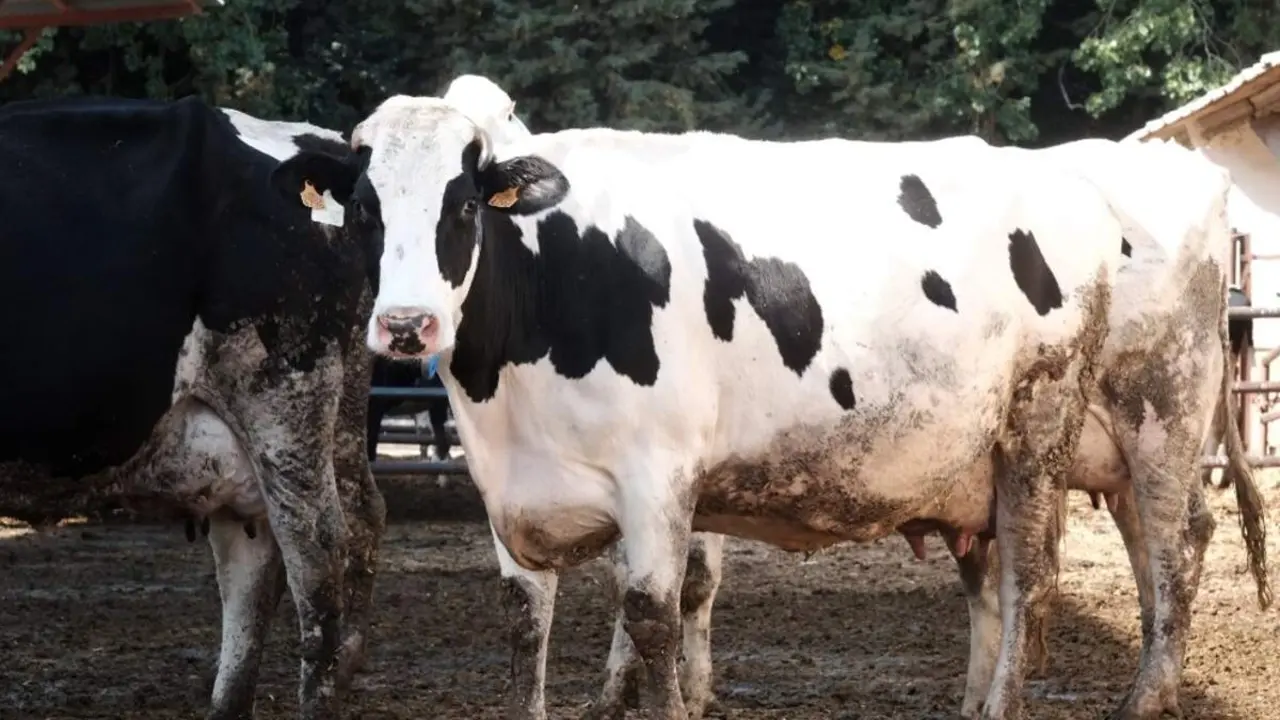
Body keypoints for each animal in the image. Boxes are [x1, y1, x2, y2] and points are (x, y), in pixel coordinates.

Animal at [285, 96, 1191, 720]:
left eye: (465, 206)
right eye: (364, 210)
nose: (408, 325)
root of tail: (1069, 185)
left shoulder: (657, 479)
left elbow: (651, 615)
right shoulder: (508, 496)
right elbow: (524, 625)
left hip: (1049, 428)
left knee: (1053, 576)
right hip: (978, 468)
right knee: (997, 581)